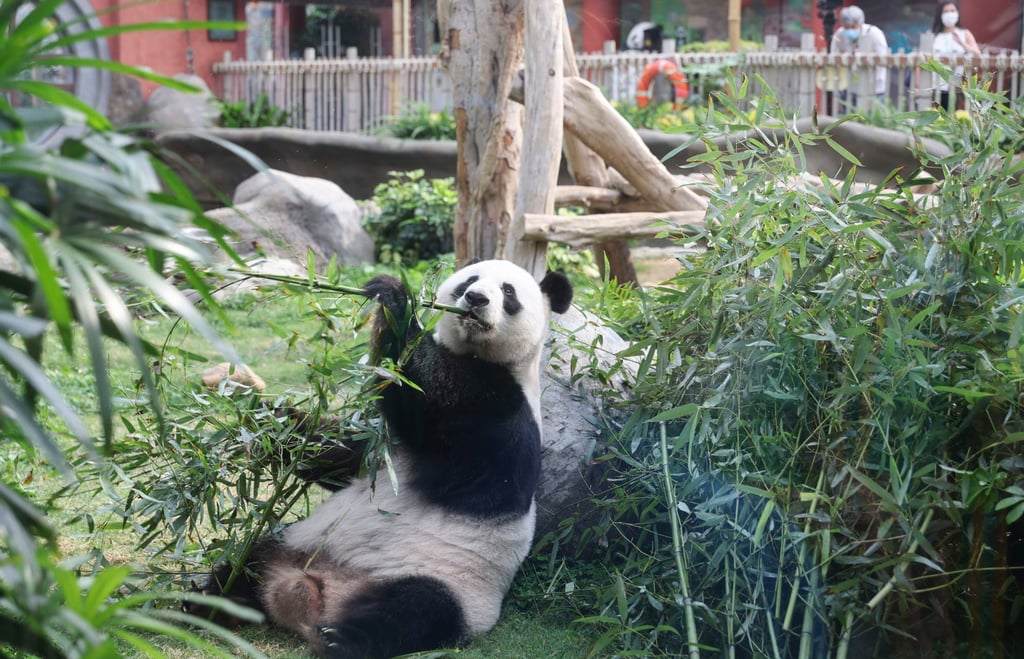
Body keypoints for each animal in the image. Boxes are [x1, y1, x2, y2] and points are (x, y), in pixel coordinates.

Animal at [200, 259, 574, 659]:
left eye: (508, 292)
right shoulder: (381, 444)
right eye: (469, 281)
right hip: (292, 546)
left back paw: (340, 638)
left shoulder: (501, 415)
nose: (475, 298)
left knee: (415, 610)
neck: (481, 357)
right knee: (244, 568)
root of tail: (309, 594)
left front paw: (394, 296)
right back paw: (206, 604)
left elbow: (426, 393)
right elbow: (338, 454)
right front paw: (252, 407)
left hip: (452, 586)